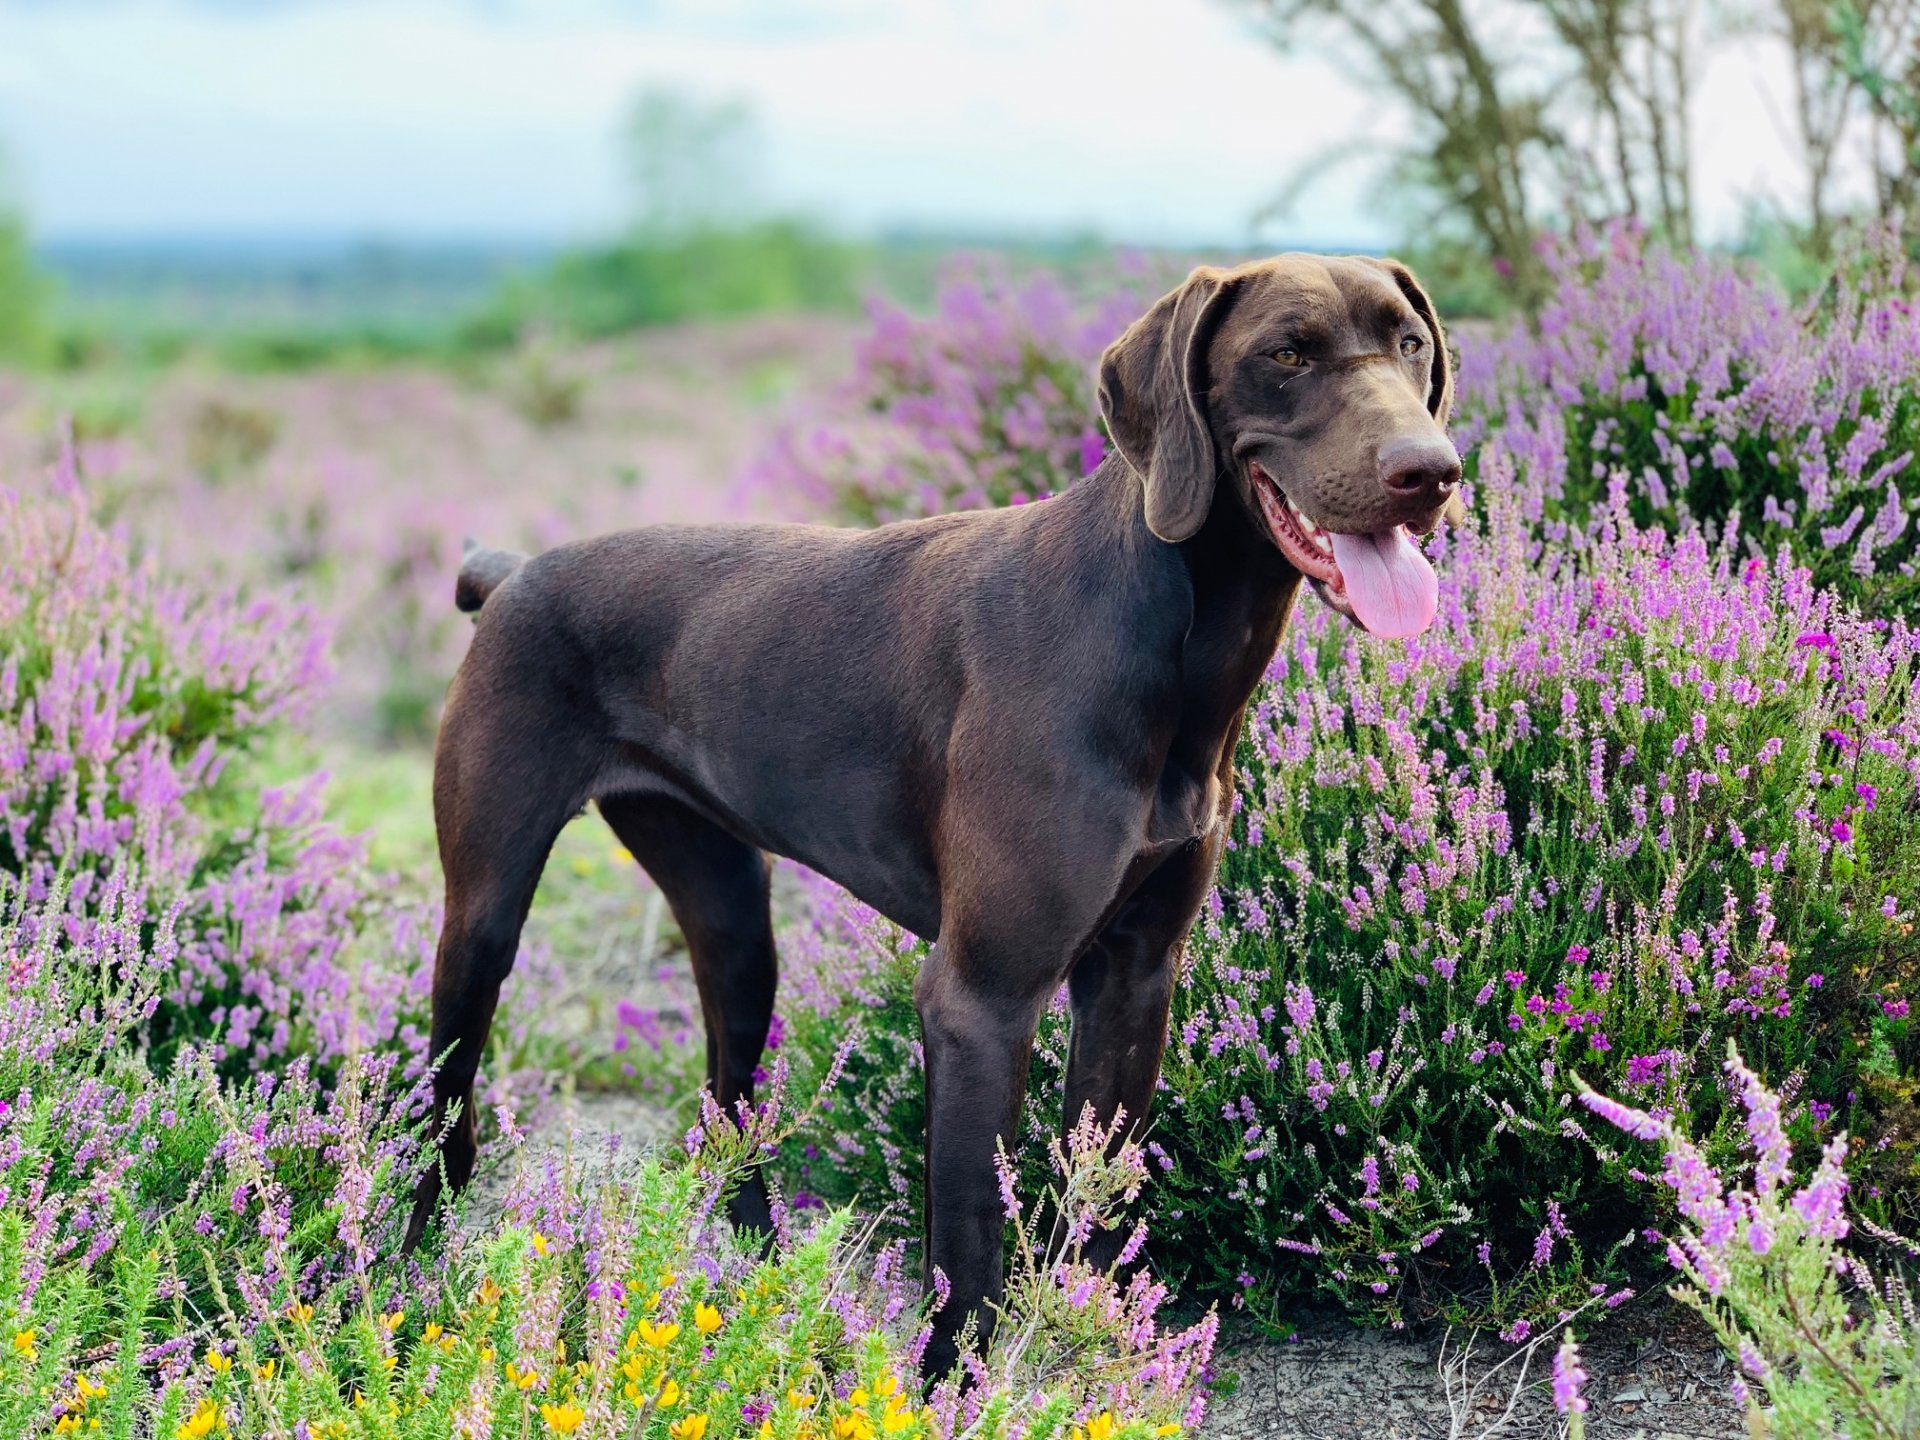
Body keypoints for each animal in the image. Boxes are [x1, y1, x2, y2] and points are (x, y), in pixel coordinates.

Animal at [405, 253, 1451, 1382]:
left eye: (1410, 346)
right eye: (1287, 354)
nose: (1431, 471)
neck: (1167, 639)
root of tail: (511, 574)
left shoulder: (1135, 979)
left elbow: (1096, 1206)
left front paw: (1103, 1356)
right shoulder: (980, 998)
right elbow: (969, 1243)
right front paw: (954, 1388)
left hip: (734, 927)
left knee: (729, 1111)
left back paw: (760, 1285)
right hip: (483, 924)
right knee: (440, 1122)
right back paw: (407, 1291)